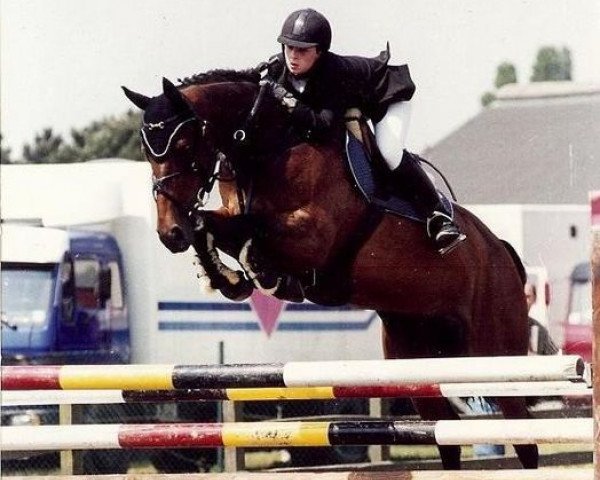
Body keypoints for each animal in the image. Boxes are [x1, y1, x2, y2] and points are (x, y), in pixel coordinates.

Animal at [124, 71, 536, 468]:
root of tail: (500, 249)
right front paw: (227, 277)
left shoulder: (313, 235)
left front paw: (259, 272)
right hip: (417, 362)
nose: (169, 233)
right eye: (146, 151)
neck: (267, 146)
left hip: (498, 357)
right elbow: (211, 224)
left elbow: (247, 228)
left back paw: (445, 229)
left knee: (524, 438)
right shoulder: (232, 213)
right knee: (445, 437)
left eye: (182, 146)